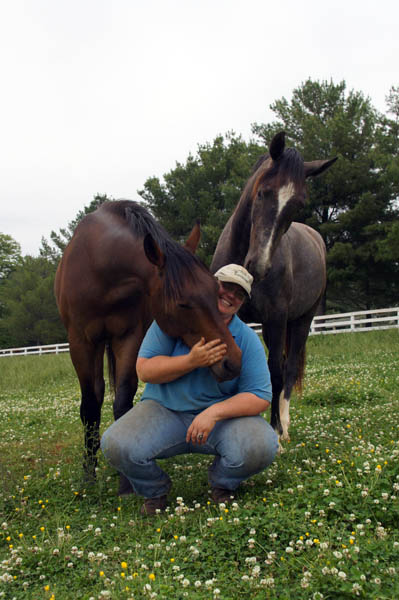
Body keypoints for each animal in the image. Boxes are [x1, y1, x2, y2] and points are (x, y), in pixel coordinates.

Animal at [54, 202, 242, 492]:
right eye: (182, 303)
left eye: (215, 290)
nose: (232, 361)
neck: (99, 266)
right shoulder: (81, 341)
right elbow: (90, 406)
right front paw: (88, 477)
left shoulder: (129, 336)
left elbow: (122, 402)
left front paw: (126, 481)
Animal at [212, 131, 338, 440]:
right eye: (262, 192)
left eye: (299, 204)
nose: (258, 265)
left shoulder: (277, 319)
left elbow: (276, 374)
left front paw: (275, 433)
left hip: (300, 321)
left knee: (288, 369)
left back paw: (284, 427)